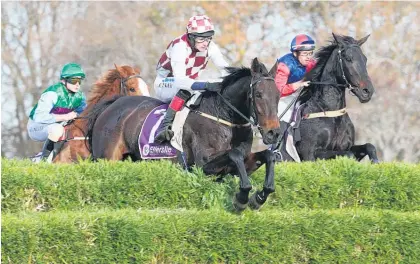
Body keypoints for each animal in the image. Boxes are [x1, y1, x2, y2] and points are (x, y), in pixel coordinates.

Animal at [84, 57, 282, 210]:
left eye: (278, 95)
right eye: (258, 94)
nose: (274, 133)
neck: (223, 115)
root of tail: (113, 103)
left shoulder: (242, 165)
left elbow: (268, 156)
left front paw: (259, 197)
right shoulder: (203, 167)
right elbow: (235, 154)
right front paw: (241, 198)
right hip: (108, 158)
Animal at [278, 33, 378, 163]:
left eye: (364, 59)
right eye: (348, 58)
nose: (367, 91)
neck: (330, 112)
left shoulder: (347, 146)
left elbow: (369, 146)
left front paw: (376, 162)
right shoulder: (311, 154)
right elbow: (349, 154)